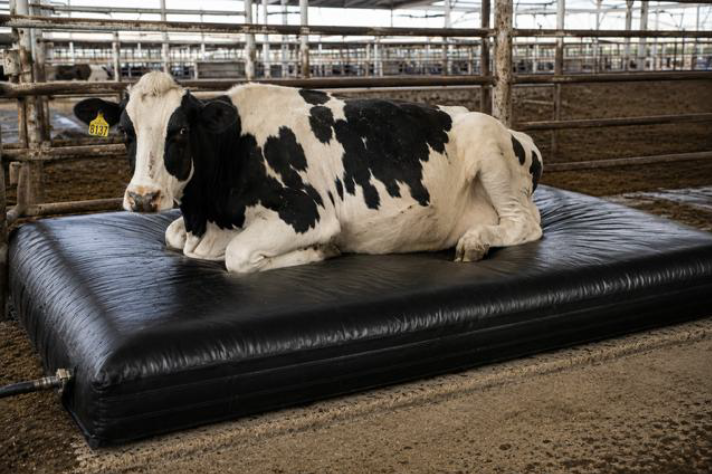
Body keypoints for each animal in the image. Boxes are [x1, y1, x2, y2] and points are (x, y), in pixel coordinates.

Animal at [73, 71, 543, 274]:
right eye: (125, 132)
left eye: (181, 130)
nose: (142, 197)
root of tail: (514, 130)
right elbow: (172, 237)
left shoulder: (307, 213)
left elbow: (237, 257)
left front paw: (323, 251)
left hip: (490, 151)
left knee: (526, 224)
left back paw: (475, 242)